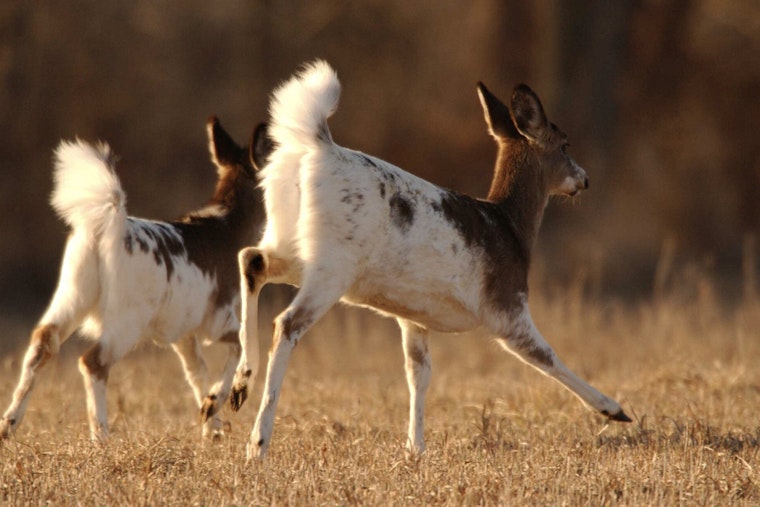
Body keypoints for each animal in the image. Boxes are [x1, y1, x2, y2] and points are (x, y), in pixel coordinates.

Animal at [0, 117, 270, 441]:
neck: (230, 227)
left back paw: (8, 424)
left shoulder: (183, 334)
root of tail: (105, 229)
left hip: (72, 294)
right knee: (92, 362)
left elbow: (196, 372)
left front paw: (211, 425)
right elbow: (239, 347)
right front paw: (215, 407)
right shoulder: (217, 320)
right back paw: (101, 436)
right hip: (127, 318)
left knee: (42, 342)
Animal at [232, 60, 631, 459]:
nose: (584, 179)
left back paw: (240, 385)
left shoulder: (412, 316)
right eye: (565, 144)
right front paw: (614, 409)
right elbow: (546, 357)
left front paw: (415, 447)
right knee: (286, 323)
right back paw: (258, 442)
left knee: (251, 259)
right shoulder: (506, 307)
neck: (511, 228)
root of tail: (316, 147)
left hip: (293, 246)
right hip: (333, 265)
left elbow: (418, 373)